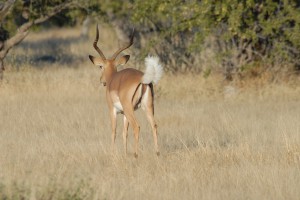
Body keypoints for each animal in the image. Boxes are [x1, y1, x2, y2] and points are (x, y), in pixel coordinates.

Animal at [88, 25, 163, 158]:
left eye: (101, 66)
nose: (102, 81)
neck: (113, 79)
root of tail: (143, 79)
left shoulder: (113, 110)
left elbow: (114, 131)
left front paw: (112, 154)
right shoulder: (124, 114)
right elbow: (124, 133)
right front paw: (124, 153)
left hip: (130, 109)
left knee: (137, 127)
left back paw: (136, 154)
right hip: (147, 107)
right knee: (154, 125)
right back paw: (157, 153)